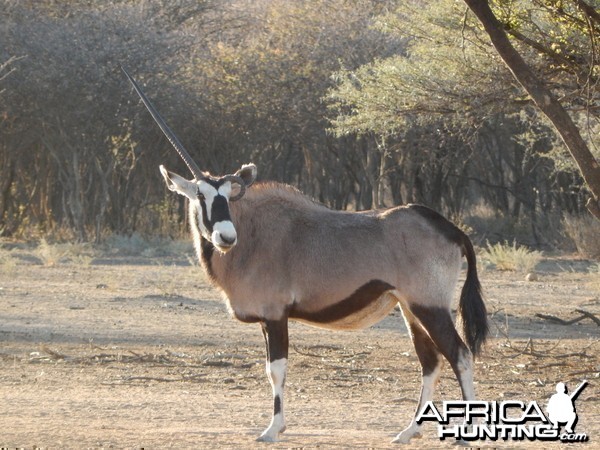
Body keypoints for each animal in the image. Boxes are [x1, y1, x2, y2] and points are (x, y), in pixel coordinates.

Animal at [122, 68, 488, 444]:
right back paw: (407, 431)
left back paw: (465, 432)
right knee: (430, 363)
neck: (253, 234)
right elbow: (271, 369)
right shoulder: (266, 320)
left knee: (460, 355)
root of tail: (451, 229)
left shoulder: (275, 315)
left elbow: (276, 370)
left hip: (429, 306)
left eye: (229, 196)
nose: (226, 236)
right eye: (200, 195)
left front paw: (272, 429)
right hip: (410, 309)